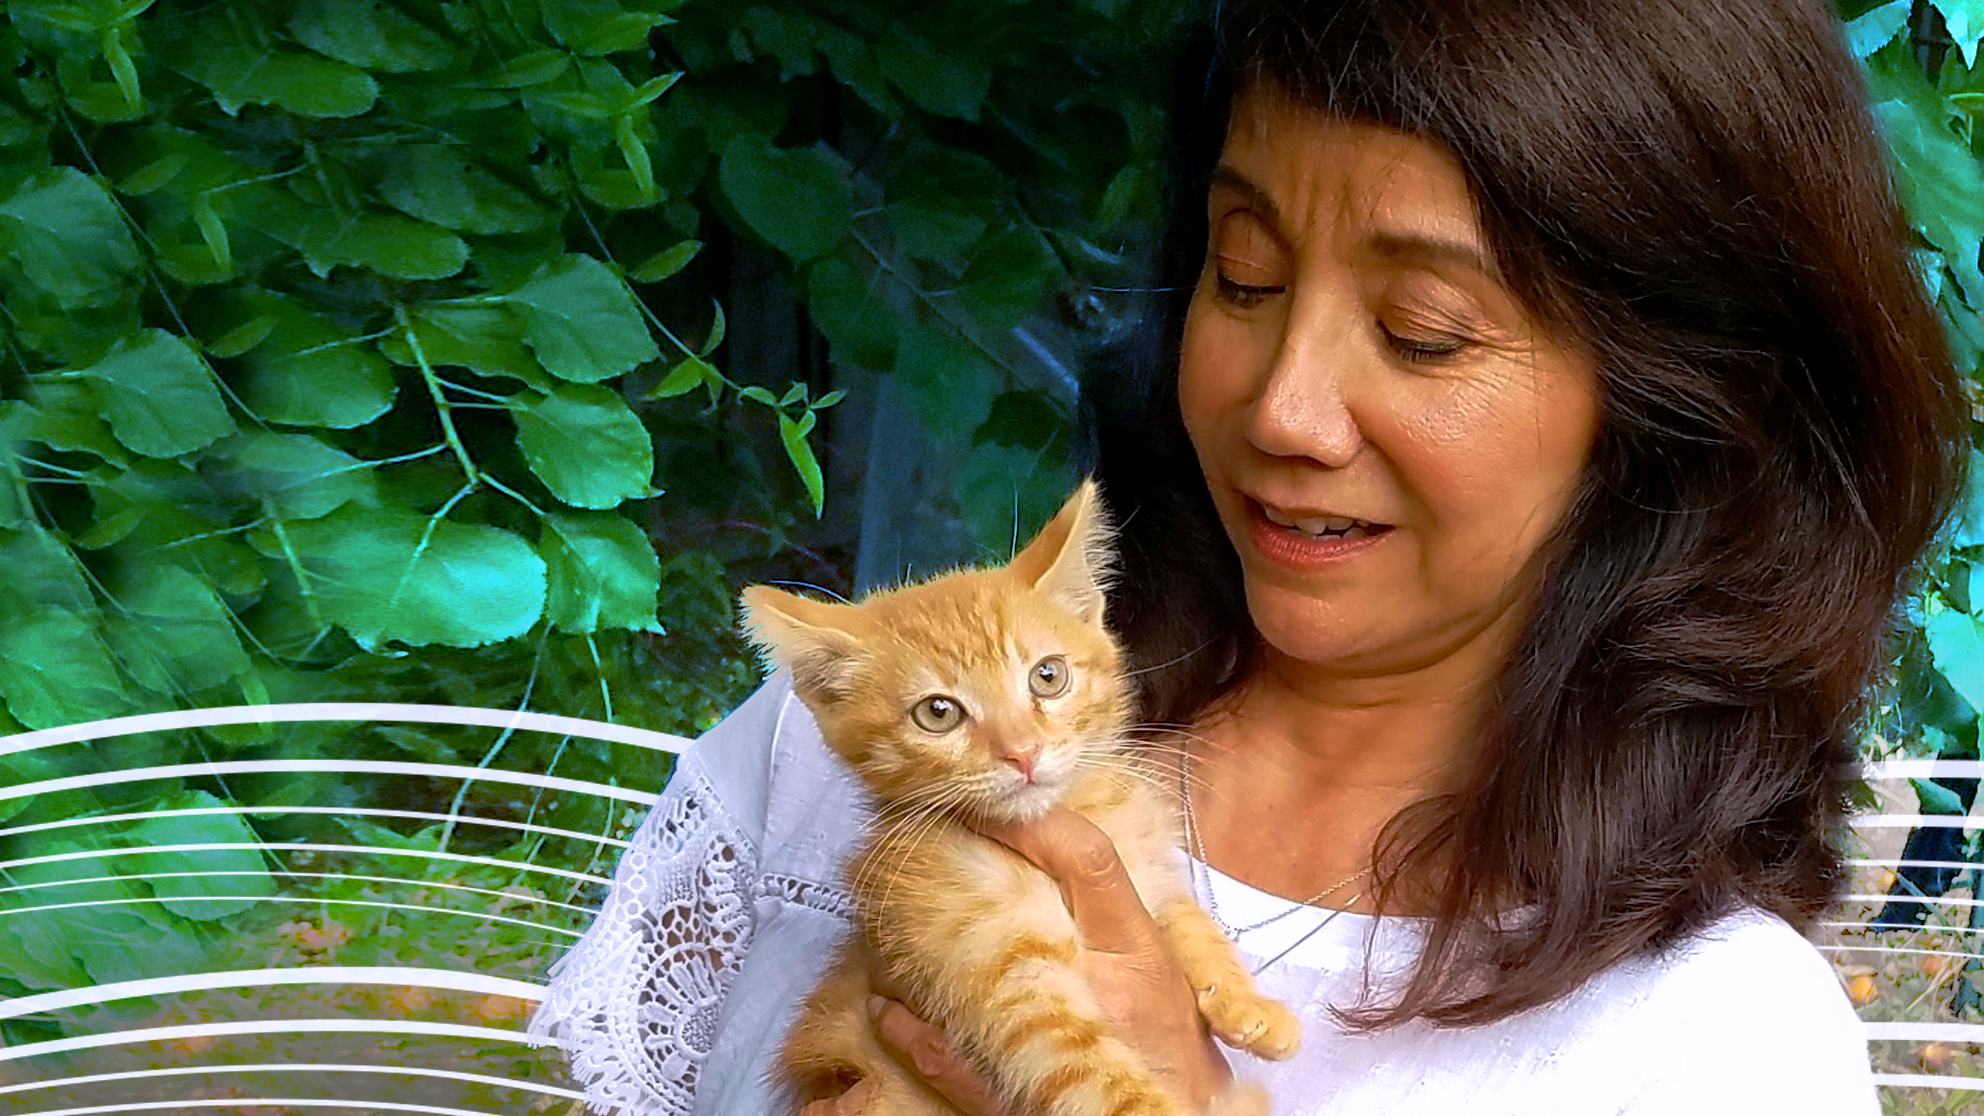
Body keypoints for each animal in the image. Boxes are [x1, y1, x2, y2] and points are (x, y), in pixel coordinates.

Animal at [745, 480, 1301, 1112]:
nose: (1022, 752)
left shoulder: (1146, 871)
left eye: (1048, 677)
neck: (1073, 815)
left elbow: (1187, 918)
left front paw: (1247, 1004)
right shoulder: (1002, 977)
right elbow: (1096, 1076)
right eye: (938, 713)